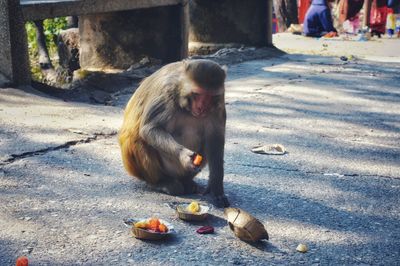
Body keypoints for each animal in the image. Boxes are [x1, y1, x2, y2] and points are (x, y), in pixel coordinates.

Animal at [119, 58, 230, 208]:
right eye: (197, 94)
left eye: (210, 96)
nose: (201, 108)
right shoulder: (167, 93)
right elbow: (150, 129)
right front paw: (184, 156)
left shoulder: (219, 103)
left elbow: (215, 140)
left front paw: (216, 188)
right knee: (136, 139)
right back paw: (161, 183)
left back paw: (186, 182)